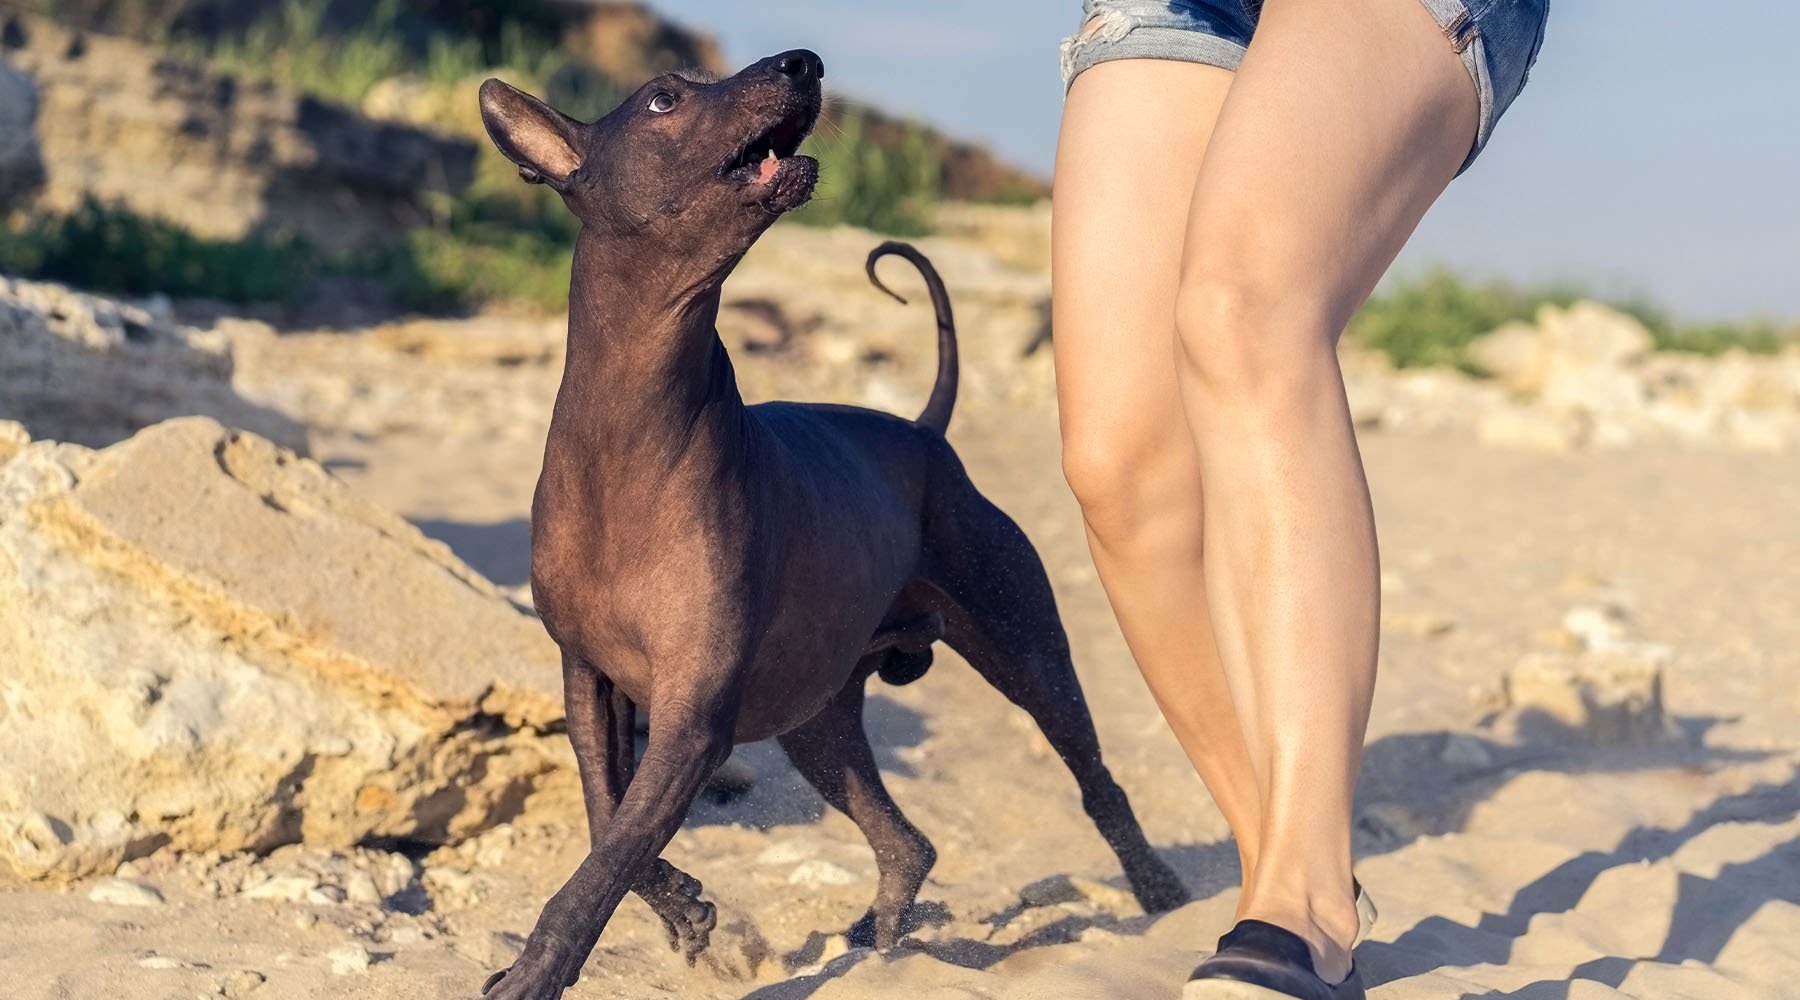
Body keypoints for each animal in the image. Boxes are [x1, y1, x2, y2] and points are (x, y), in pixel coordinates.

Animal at [471, 48, 1188, 1000]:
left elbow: (607, 856)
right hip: (818, 722)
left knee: (1095, 782)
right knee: (909, 844)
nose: (800, 62)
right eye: (664, 98)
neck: (631, 425)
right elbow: (605, 820)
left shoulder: (695, 719)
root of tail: (925, 433)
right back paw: (882, 941)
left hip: (1029, 655)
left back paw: (1159, 891)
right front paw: (684, 909)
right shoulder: (588, 683)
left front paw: (535, 972)